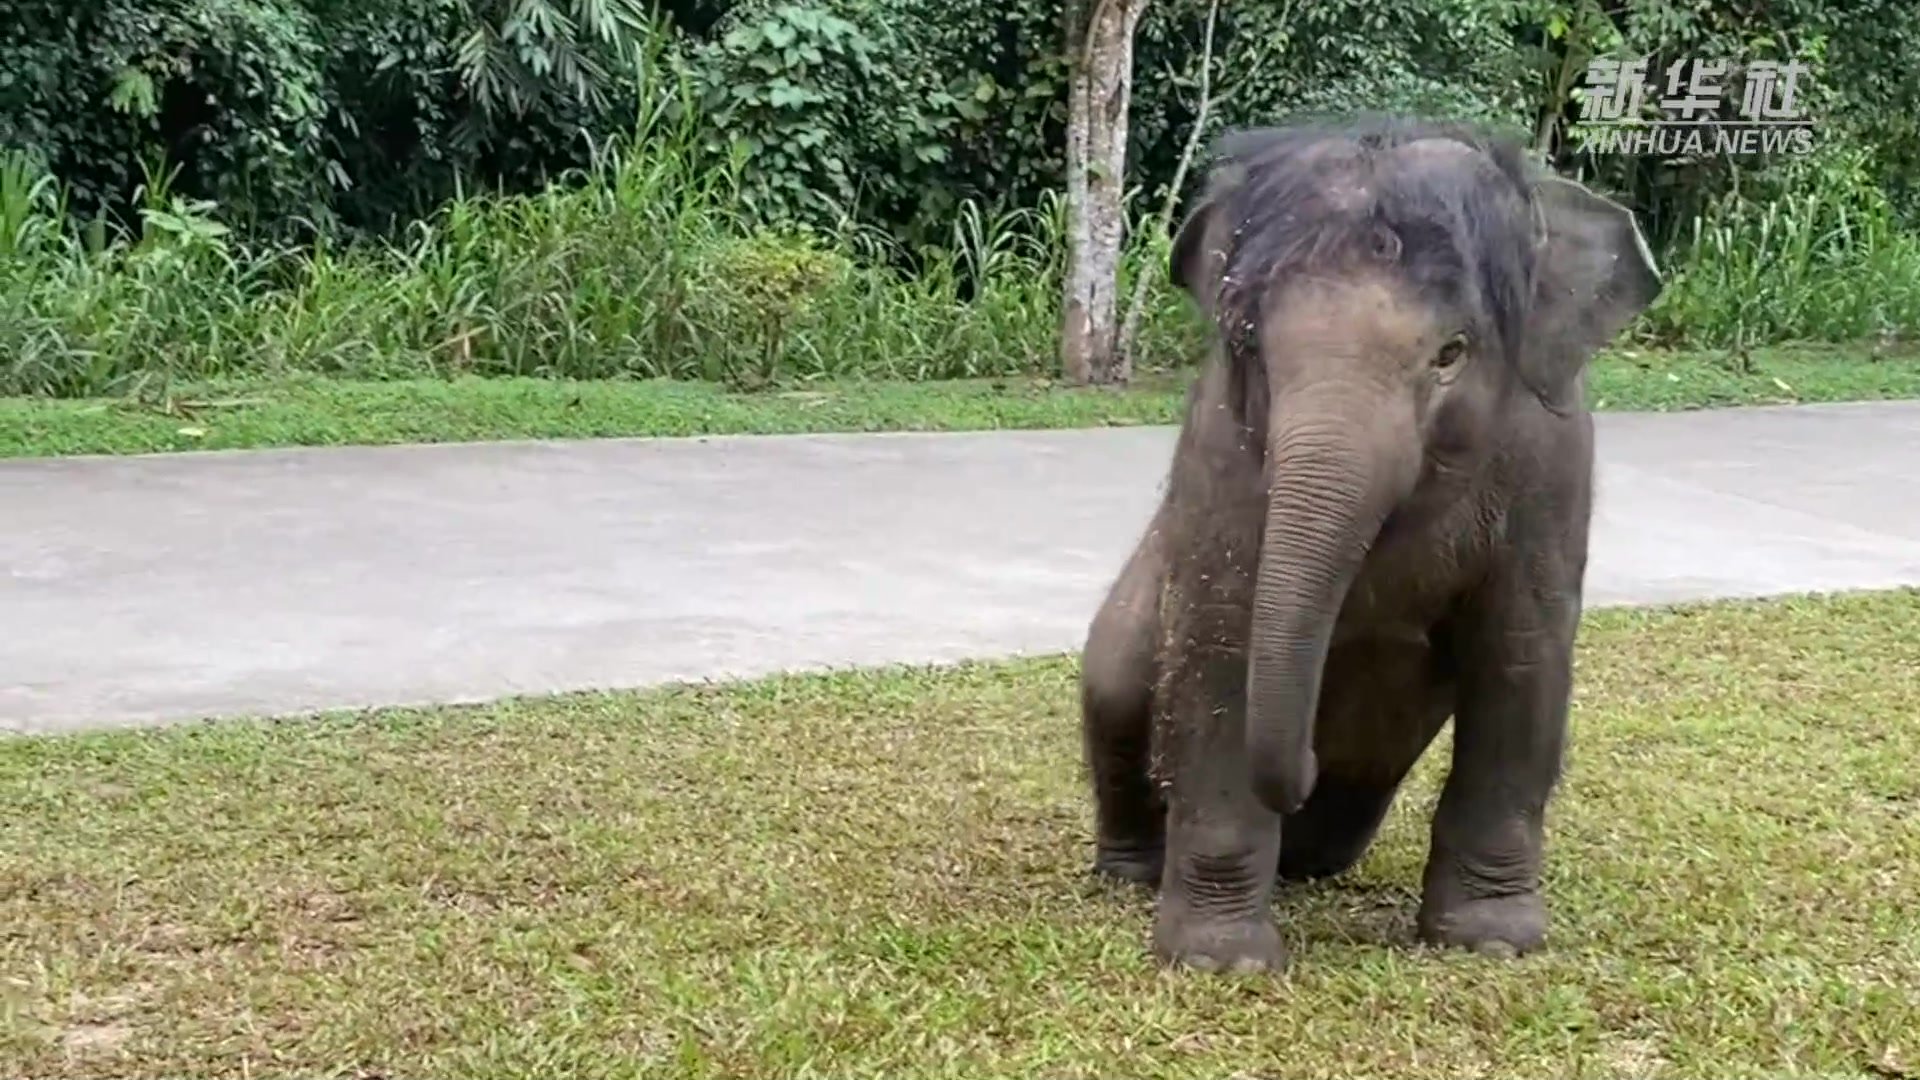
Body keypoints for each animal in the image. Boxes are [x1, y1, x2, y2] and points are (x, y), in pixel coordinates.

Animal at [1090, 115, 1658, 968]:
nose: (1307, 770)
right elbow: (1220, 641)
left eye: (1452, 352)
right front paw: (1221, 961)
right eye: (1250, 344)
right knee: (1115, 677)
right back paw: (1134, 872)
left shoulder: (1553, 467)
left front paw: (1492, 942)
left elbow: (1521, 657)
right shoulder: (1219, 449)